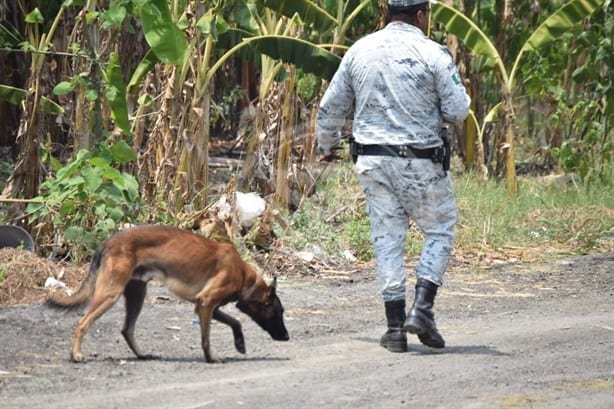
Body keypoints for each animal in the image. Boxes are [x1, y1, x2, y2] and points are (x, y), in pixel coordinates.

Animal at [45, 225, 292, 362]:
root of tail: (107, 241)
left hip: (137, 295)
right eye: (279, 312)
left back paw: (142, 355)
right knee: (82, 323)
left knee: (127, 329)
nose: (287, 337)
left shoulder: (205, 306)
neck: (243, 276)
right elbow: (206, 338)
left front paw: (239, 343)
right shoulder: (206, 303)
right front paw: (211, 358)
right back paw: (76, 355)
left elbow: (235, 321)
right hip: (110, 294)